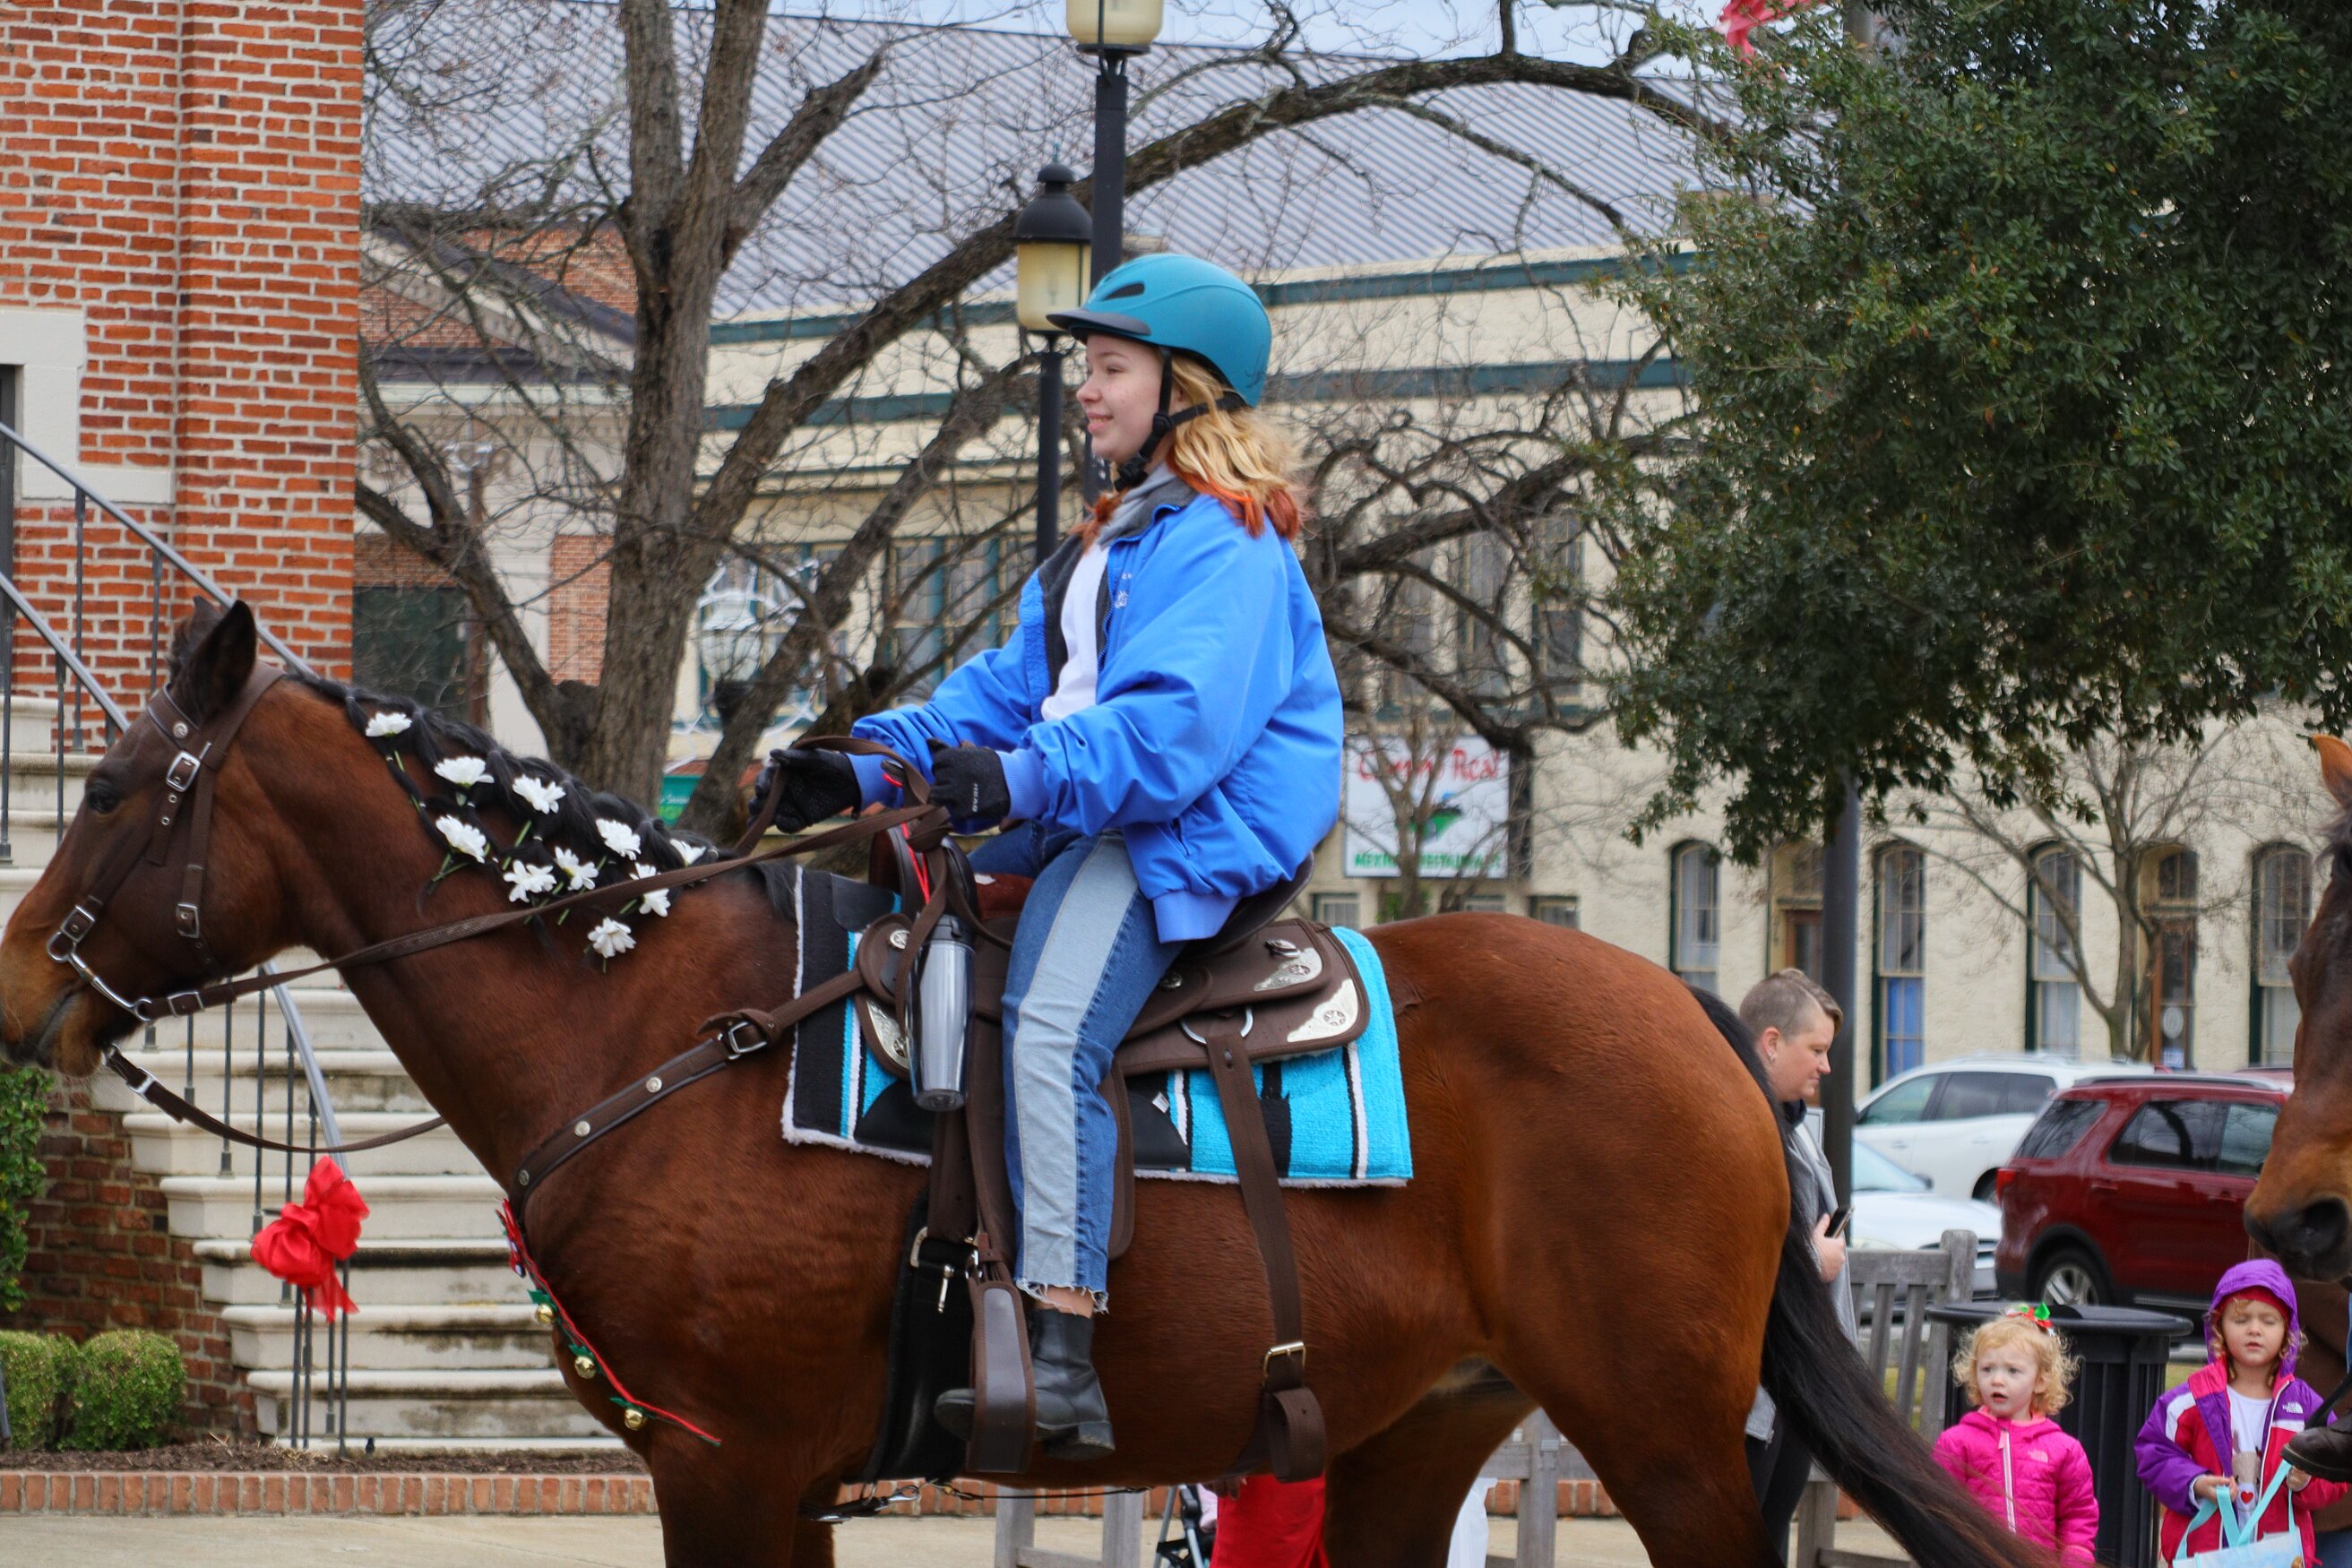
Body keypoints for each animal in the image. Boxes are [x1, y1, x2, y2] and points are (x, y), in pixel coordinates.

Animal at [0, 602, 2048, 1568]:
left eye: (105, 788)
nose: (19, 992)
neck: (658, 1028)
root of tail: (1702, 1027)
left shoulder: (725, 1461)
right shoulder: (775, 1475)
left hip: (1669, 1440)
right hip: (1419, 1432)